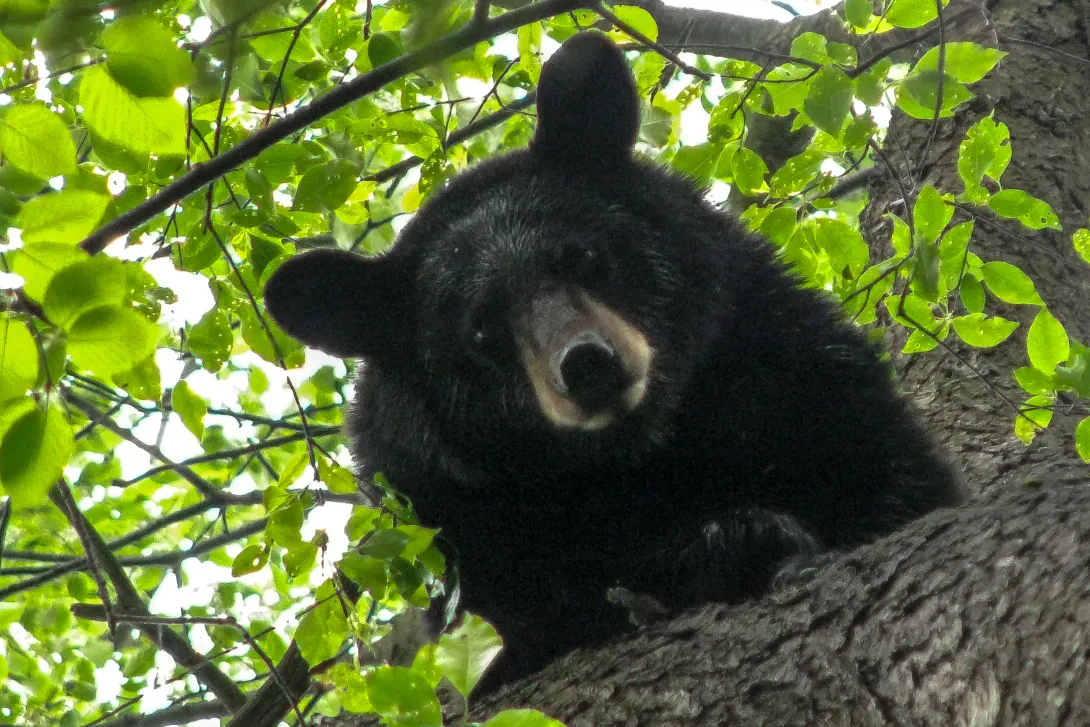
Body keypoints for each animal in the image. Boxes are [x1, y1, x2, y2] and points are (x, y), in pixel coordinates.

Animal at [263, 32, 962, 690]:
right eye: (481, 330)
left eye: (583, 255)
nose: (585, 365)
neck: (639, 453)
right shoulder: (448, 519)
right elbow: (558, 602)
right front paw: (737, 541)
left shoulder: (789, 360)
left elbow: (888, 474)